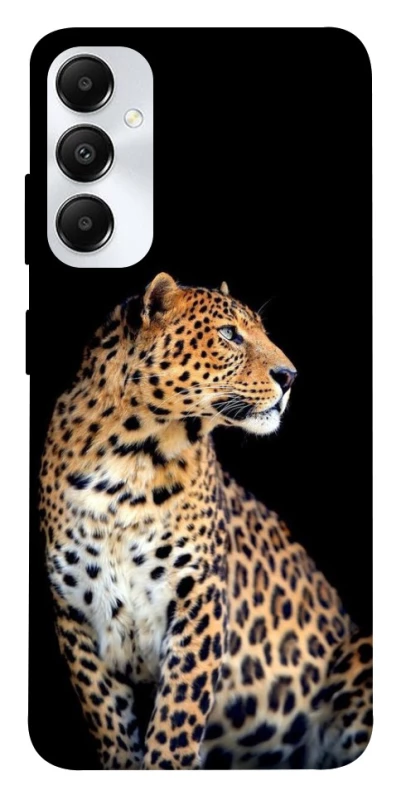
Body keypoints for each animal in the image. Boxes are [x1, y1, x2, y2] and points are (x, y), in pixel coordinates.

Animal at [39, 272, 372, 770]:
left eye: (261, 331)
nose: (290, 376)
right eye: (229, 334)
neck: (129, 460)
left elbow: (176, 720)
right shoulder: (76, 615)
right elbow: (111, 725)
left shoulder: (199, 598)